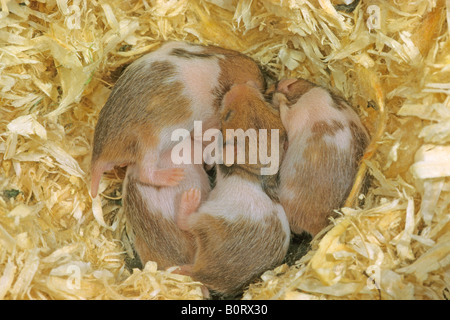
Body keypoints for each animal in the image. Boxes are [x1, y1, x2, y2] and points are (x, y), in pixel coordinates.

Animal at [174, 82, 290, 298]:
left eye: (227, 116)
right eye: (265, 102)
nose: (241, 85)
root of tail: (202, 273)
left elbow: (212, 151)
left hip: (206, 222)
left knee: (185, 222)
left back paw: (190, 198)